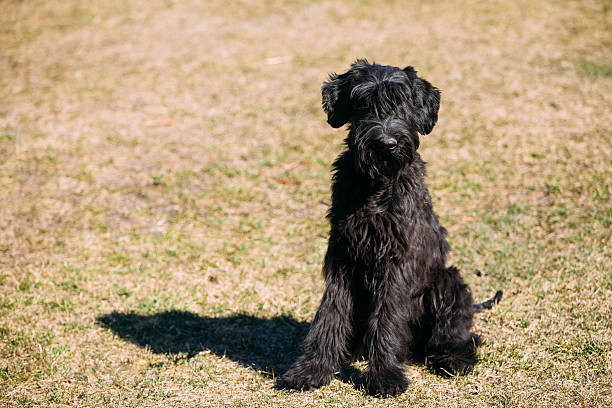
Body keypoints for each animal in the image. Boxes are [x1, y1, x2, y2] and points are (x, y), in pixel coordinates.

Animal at [280, 59, 500, 396]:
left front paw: (385, 376)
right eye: (363, 104)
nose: (387, 144)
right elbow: (330, 314)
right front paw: (311, 369)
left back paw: (453, 357)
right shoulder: (343, 256)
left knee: (459, 333)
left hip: (447, 282)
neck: (376, 187)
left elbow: (388, 318)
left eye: (401, 103)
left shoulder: (396, 261)